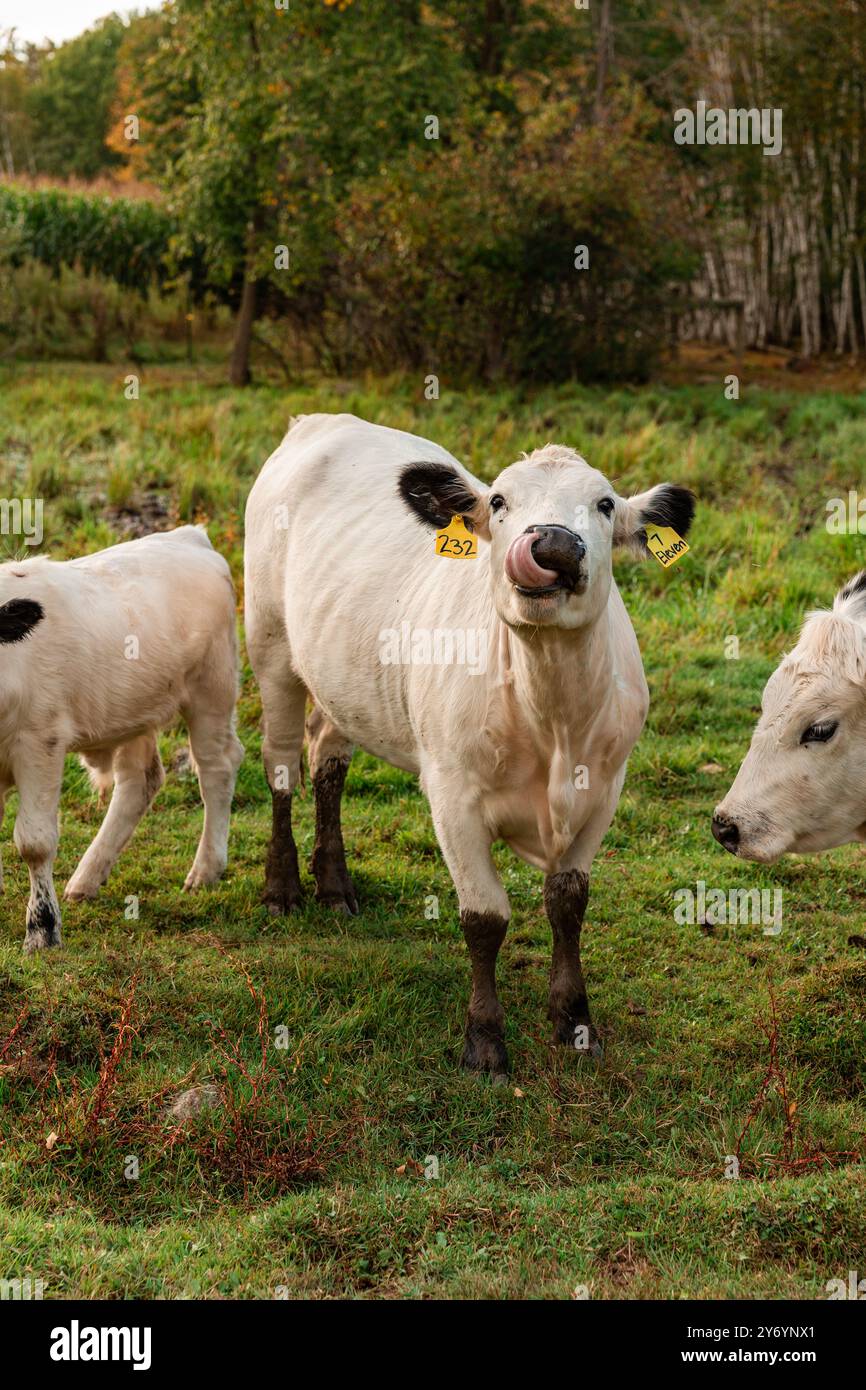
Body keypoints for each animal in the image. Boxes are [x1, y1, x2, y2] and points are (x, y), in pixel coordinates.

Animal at [0, 522, 244, 956]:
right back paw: (87, 877)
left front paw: (42, 931)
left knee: (217, 769)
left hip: (211, 691)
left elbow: (35, 841)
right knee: (140, 782)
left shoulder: (39, 742)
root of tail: (190, 537)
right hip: (134, 713)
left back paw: (205, 869)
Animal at [244, 411, 697, 1073]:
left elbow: (568, 903)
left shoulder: (604, 790)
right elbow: (485, 918)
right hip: (270, 646)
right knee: (281, 767)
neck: (552, 717)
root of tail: (322, 420)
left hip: (339, 676)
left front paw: (574, 1020)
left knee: (328, 761)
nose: (551, 544)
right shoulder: (452, 795)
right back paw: (282, 889)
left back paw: (335, 886)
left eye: (606, 503)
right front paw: (484, 1039)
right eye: (501, 501)